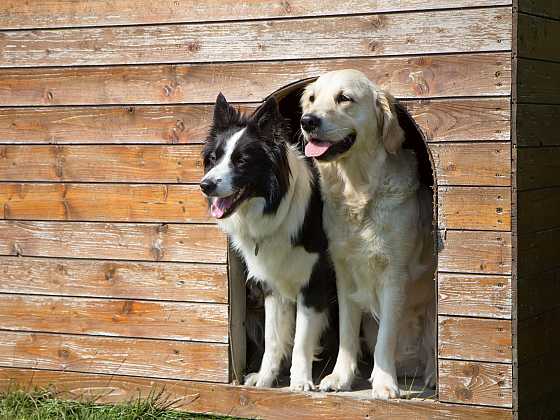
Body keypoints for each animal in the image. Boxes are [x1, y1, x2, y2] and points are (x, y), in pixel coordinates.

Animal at [200, 92, 334, 390]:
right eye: (214, 158)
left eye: (242, 161)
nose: (205, 186)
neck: (276, 207)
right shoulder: (272, 286)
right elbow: (273, 339)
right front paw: (265, 379)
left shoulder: (314, 284)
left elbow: (301, 341)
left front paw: (300, 382)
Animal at [300, 69, 436, 400]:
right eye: (312, 98)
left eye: (344, 98)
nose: (308, 121)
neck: (358, 192)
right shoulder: (344, 272)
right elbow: (347, 333)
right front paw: (340, 377)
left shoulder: (394, 275)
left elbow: (387, 335)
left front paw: (385, 382)